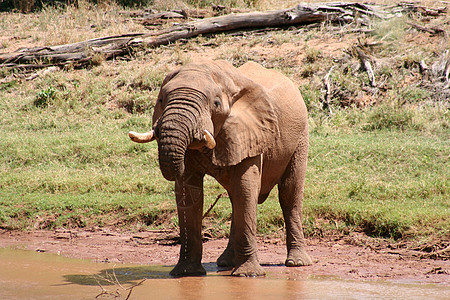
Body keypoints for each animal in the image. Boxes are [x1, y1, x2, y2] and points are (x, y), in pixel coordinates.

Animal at [128, 59, 312, 278]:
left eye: (215, 104)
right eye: (161, 99)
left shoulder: (250, 132)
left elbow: (246, 187)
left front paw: (248, 275)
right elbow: (190, 193)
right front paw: (186, 273)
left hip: (300, 137)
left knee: (288, 193)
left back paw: (297, 263)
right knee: (235, 198)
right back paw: (226, 262)